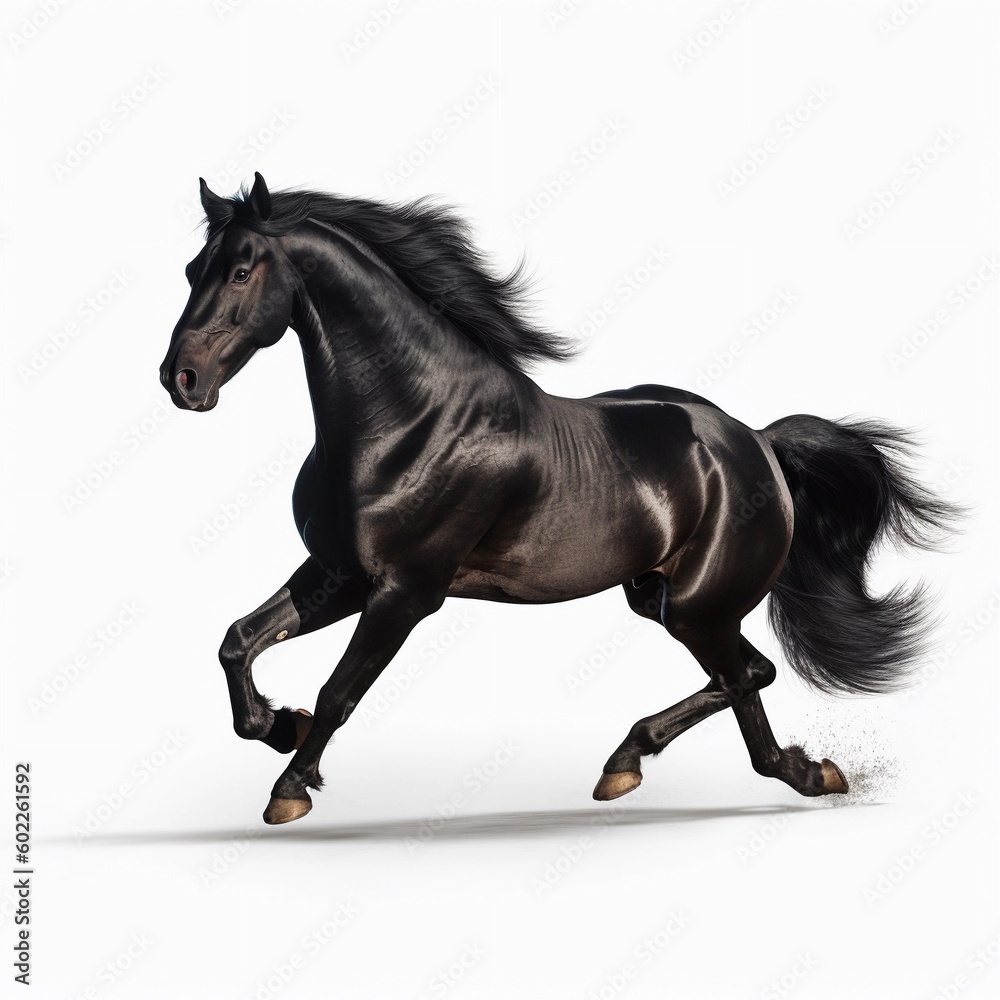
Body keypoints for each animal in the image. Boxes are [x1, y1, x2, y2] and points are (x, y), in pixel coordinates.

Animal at [160, 172, 957, 825]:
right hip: (659, 597)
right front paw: (277, 725)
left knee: (743, 683)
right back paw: (659, 765)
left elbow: (338, 693)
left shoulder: (406, 591)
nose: (181, 379)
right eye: (193, 269)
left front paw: (290, 786)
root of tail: (755, 443)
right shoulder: (339, 575)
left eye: (240, 270)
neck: (410, 422)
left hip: (695, 605)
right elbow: (237, 642)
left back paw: (752, 771)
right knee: (748, 676)